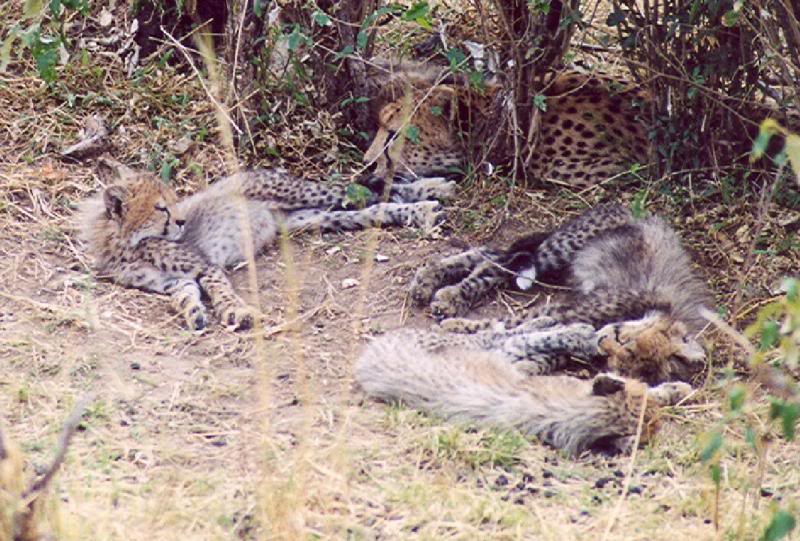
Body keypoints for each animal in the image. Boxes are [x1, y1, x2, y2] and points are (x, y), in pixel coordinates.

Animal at [77, 161, 454, 331]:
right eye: (160, 208)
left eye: (172, 202)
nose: (182, 221)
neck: (127, 244)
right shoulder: (176, 280)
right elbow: (184, 296)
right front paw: (193, 314)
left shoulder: (204, 266)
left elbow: (221, 290)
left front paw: (237, 312)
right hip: (307, 219)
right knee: (369, 209)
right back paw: (419, 211)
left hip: (303, 193)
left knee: (364, 189)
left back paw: (433, 191)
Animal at [355, 329, 692, 456]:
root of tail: (370, 357)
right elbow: (651, 390)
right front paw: (674, 389)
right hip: (474, 346)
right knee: (513, 335)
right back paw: (578, 333)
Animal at [408, 203, 712, 384]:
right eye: (623, 341)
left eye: (620, 363)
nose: (604, 344)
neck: (660, 310)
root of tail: (632, 209)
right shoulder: (568, 309)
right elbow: (509, 323)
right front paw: (457, 328)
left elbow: (552, 349)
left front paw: (526, 367)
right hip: (562, 249)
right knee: (498, 260)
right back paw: (443, 293)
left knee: (492, 256)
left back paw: (434, 283)